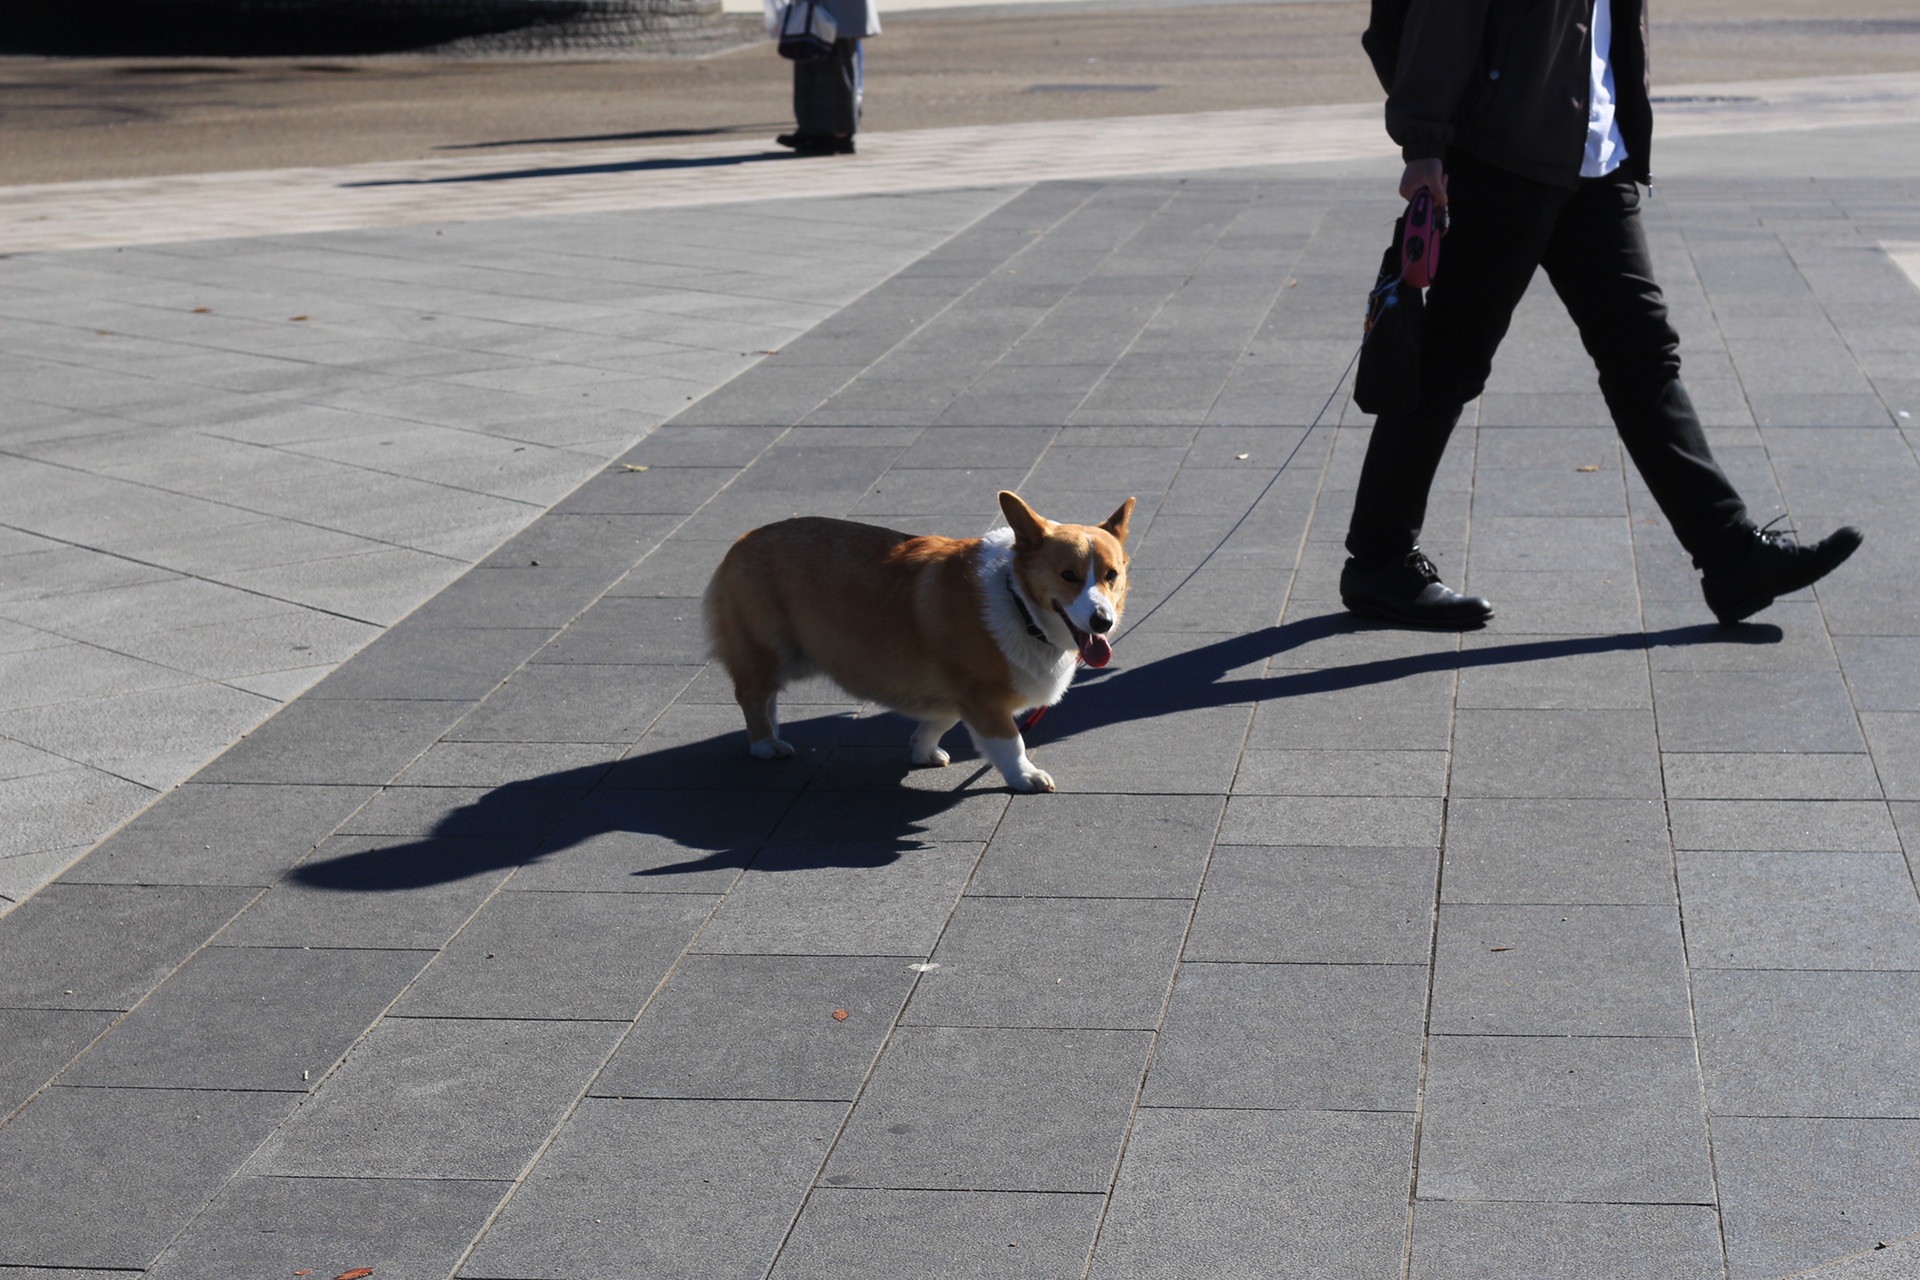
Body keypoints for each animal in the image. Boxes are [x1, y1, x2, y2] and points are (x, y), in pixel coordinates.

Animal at [702, 491, 1121, 790]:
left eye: (1112, 575)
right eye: (1068, 575)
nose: (1103, 621)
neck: (1018, 602)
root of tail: (742, 541)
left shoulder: (957, 692)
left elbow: (940, 720)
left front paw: (922, 751)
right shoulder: (982, 696)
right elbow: (1011, 742)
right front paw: (1025, 777)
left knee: (766, 696)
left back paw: (773, 733)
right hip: (770, 649)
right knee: (752, 695)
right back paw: (765, 744)